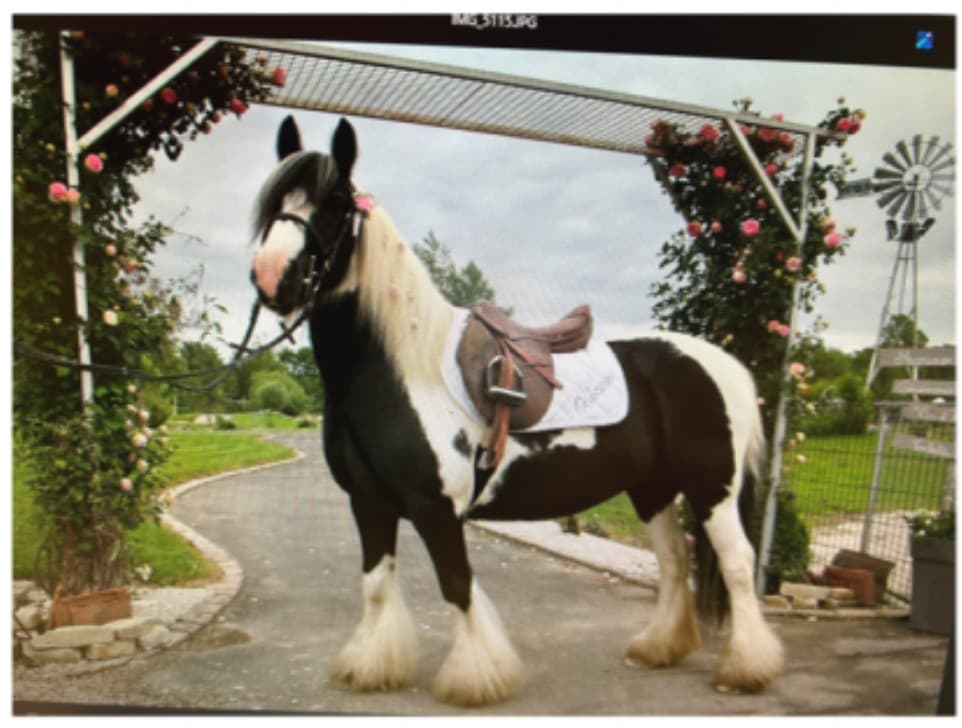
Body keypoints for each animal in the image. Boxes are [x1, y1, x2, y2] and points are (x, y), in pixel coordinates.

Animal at [248, 115, 784, 707]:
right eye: (275, 200)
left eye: (337, 202)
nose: (272, 276)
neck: (400, 371)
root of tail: (726, 365)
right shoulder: (369, 503)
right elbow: (376, 584)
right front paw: (371, 667)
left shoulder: (437, 509)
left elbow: (457, 585)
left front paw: (477, 679)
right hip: (653, 490)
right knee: (675, 563)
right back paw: (658, 649)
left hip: (713, 490)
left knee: (736, 566)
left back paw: (745, 670)